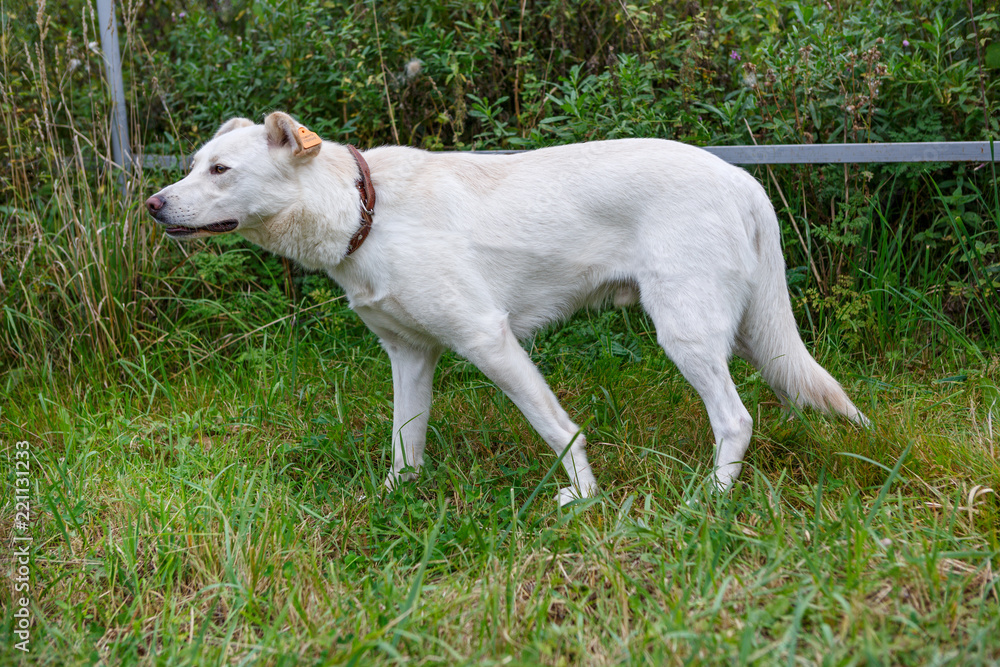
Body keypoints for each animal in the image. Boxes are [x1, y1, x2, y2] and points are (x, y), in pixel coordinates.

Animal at [148, 112, 868, 506]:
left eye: (219, 170)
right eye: (192, 165)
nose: (153, 205)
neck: (364, 210)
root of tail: (741, 178)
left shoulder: (488, 340)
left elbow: (559, 430)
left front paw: (584, 497)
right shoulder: (410, 357)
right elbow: (405, 444)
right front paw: (394, 500)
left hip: (687, 333)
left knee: (736, 418)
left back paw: (711, 500)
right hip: (743, 333)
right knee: (792, 386)